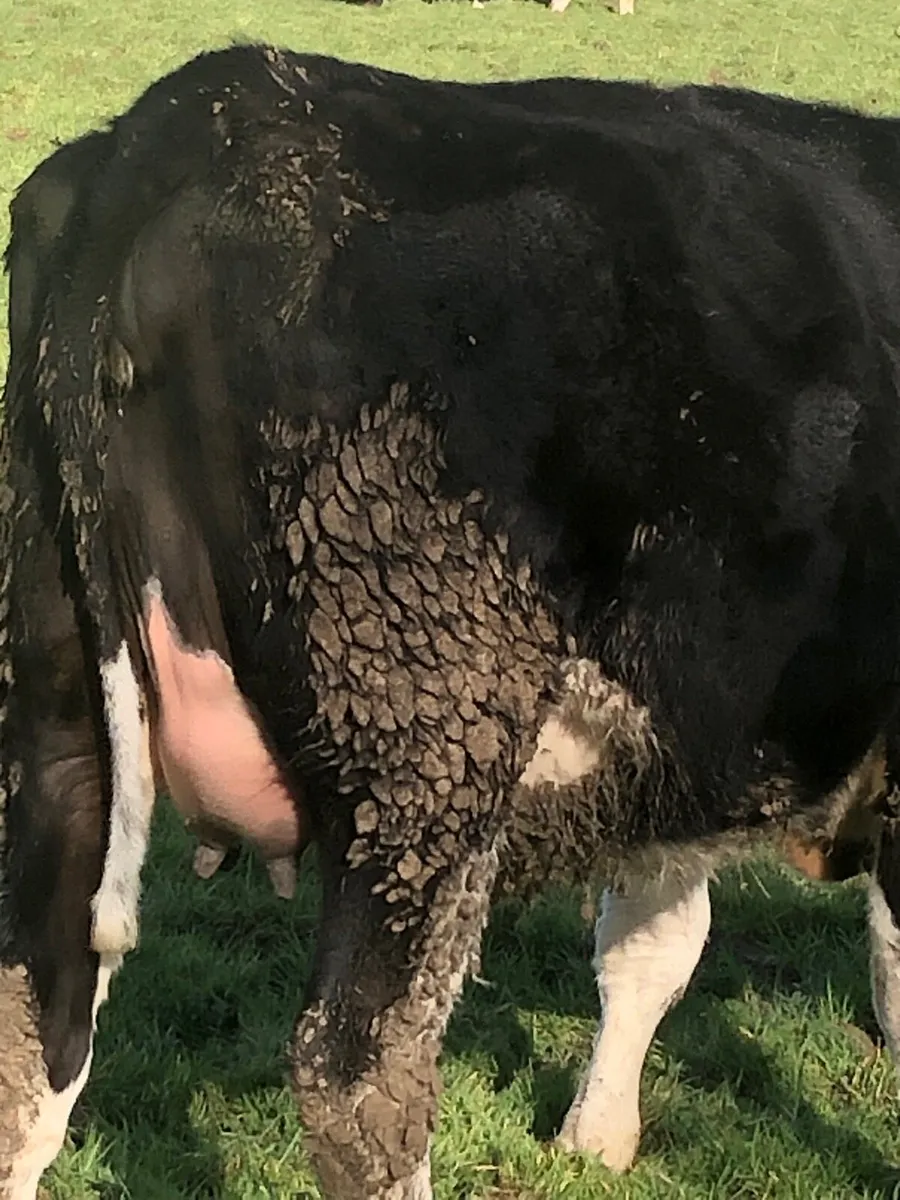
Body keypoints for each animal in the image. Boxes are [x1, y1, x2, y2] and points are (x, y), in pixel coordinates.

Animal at [4, 44, 900, 1200]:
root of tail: (211, 107)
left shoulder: (685, 740)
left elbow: (653, 940)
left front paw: (594, 1140)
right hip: (423, 742)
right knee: (358, 1073)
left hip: (59, 690)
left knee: (34, 1017)